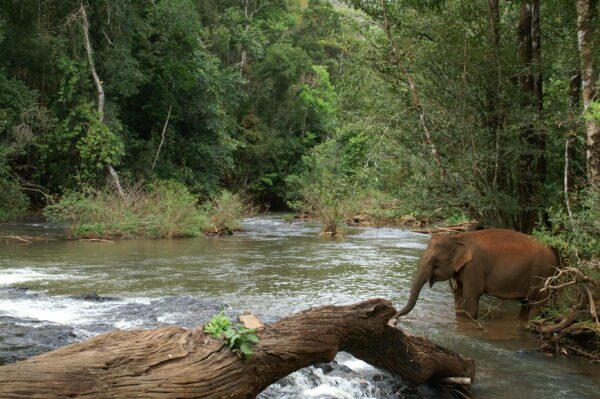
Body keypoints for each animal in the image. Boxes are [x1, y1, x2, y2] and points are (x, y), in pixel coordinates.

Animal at [392, 230, 560, 324]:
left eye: (436, 263)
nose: (394, 318)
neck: (458, 238)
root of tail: (556, 257)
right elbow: (459, 300)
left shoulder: (474, 267)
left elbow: (470, 302)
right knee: (526, 305)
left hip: (543, 275)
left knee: (537, 306)